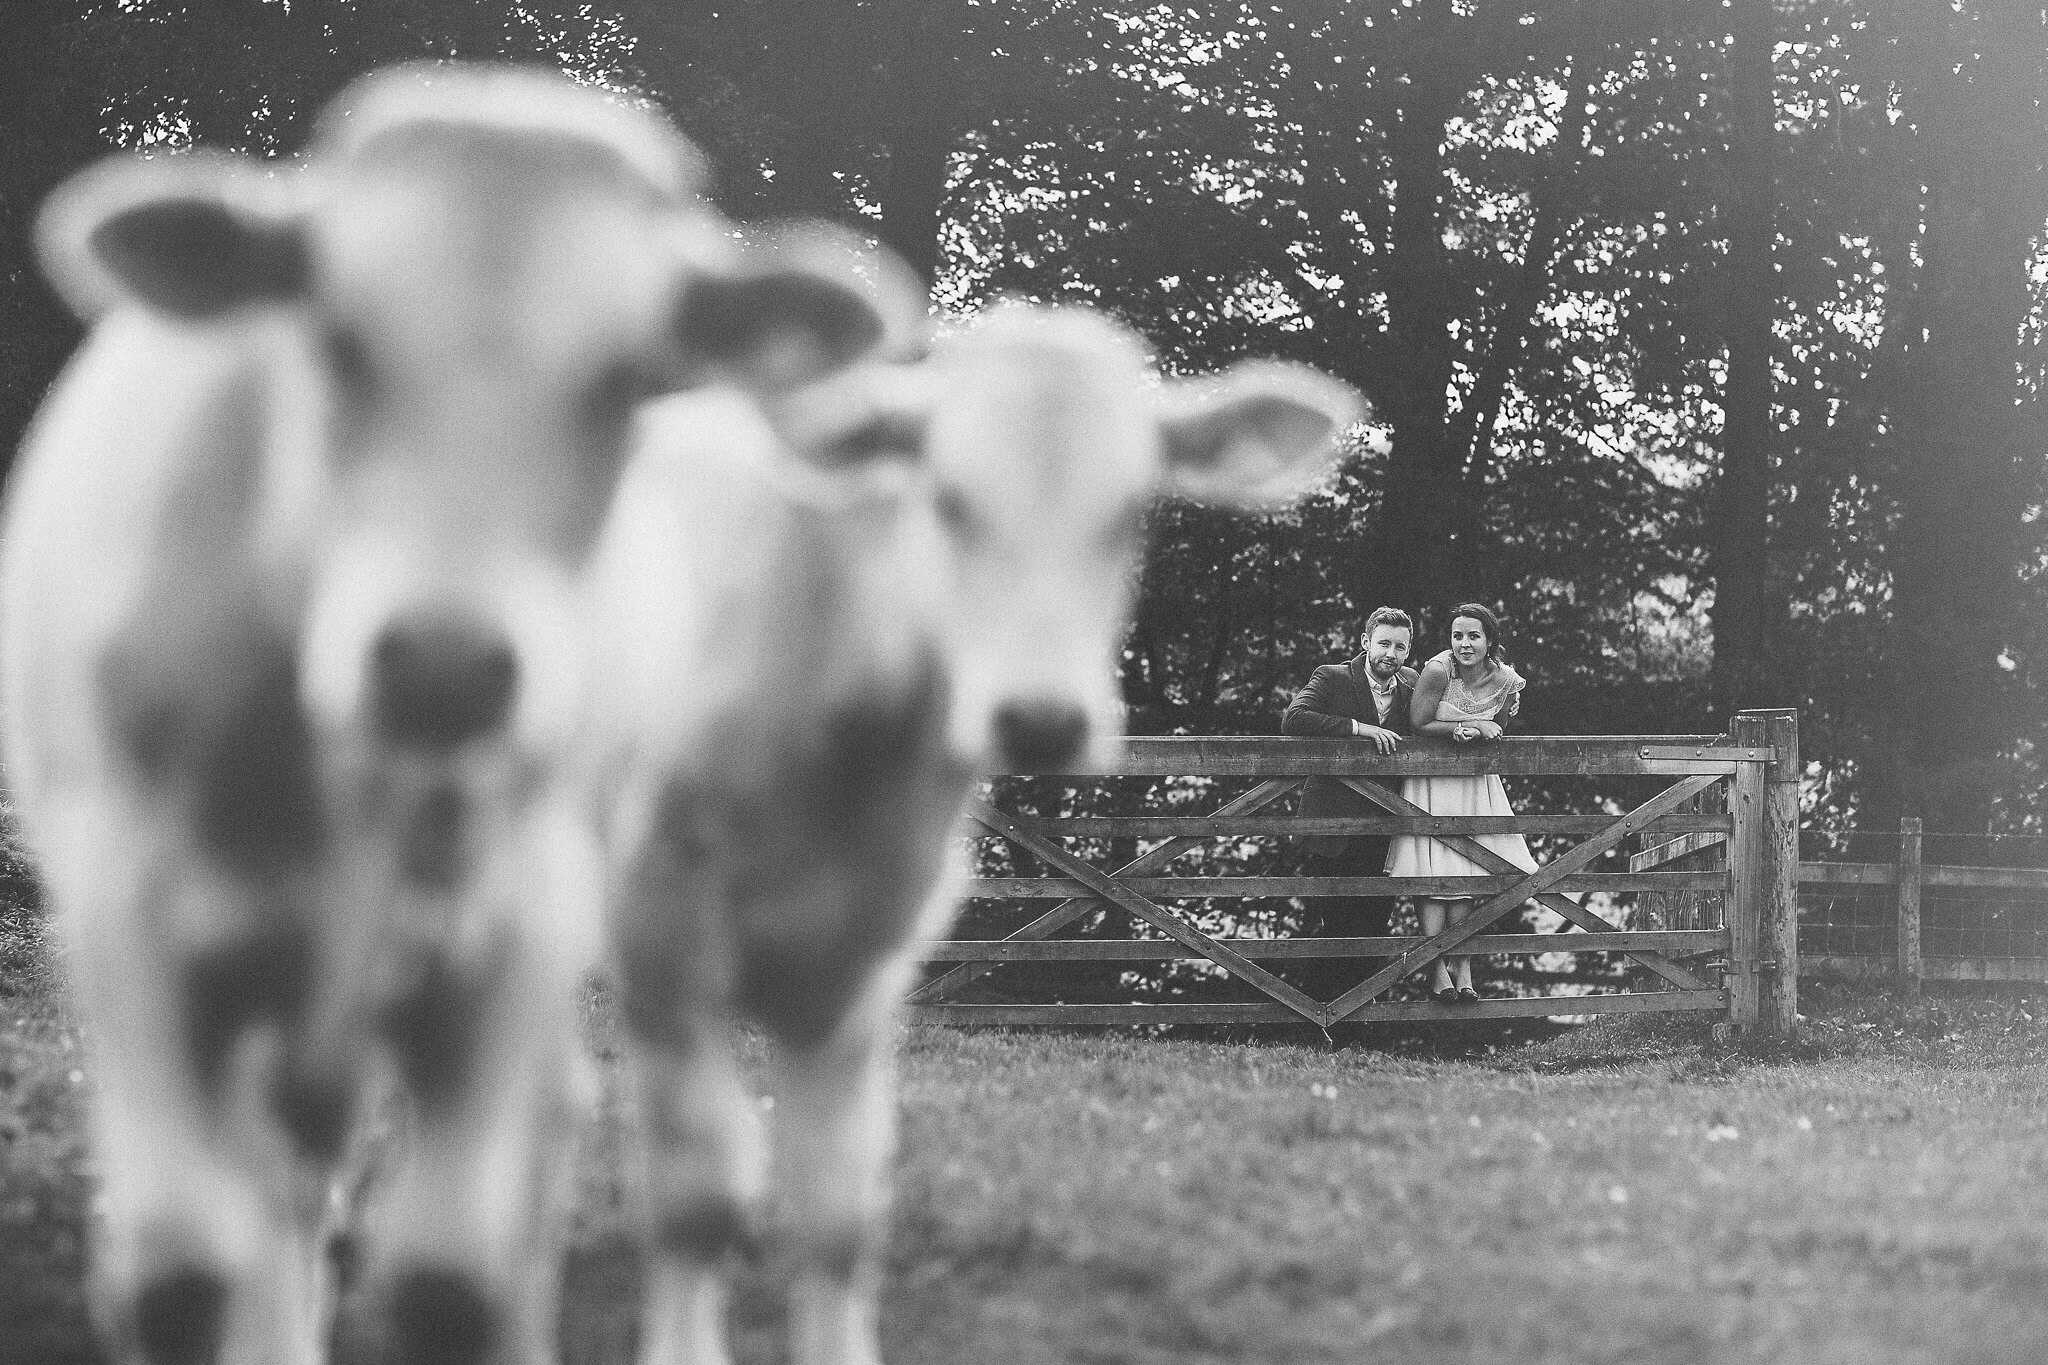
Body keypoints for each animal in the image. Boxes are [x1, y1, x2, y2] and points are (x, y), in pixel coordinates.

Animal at [2, 63, 897, 1365]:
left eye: (630, 379)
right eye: (334, 337)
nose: (444, 664)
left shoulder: (512, 931)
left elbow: (445, 1283)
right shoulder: (135, 922)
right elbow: (176, 1277)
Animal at [589, 306, 1359, 1365]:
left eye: (1131, 511)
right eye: (945, 497)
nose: (1039, 717)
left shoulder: (866, 956)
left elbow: (838, 1208)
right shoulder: (659, 929)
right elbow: (697, 1191)